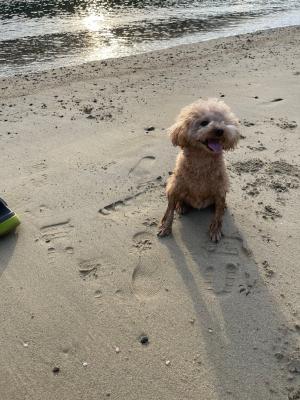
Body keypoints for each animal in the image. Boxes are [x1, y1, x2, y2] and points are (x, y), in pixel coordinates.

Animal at [157, 98, 239, 242]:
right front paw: (165, 227)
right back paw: (181, 206)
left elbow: (218, 215)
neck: (202, 158)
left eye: (223, 122)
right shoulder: (174, 186)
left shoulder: (220, 189)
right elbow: (169, 210)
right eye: (204, 123)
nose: (220, 130)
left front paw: (215, 230)